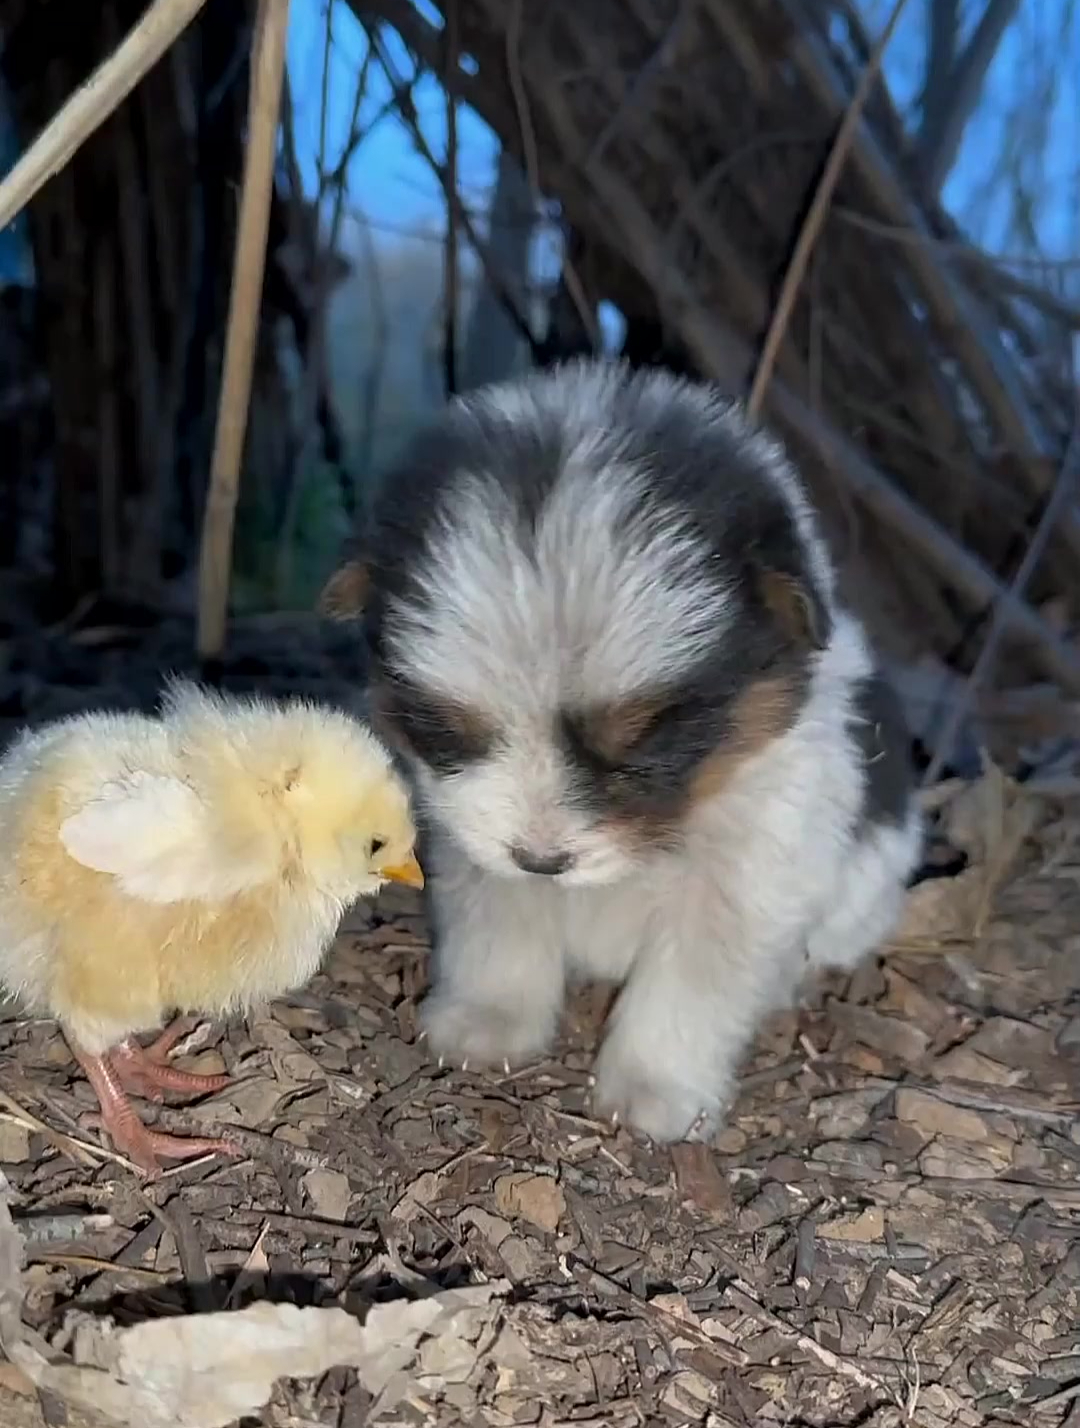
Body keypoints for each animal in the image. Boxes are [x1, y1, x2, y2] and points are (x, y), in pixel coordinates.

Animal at [350, 362, 925, 1142]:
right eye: (449, 731)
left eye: (647, 740)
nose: (544, 861)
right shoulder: (473, 839)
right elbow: (499, 925)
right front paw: (487, 1020)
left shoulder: (745, 879)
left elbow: (692, 986)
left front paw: (657, 1089)